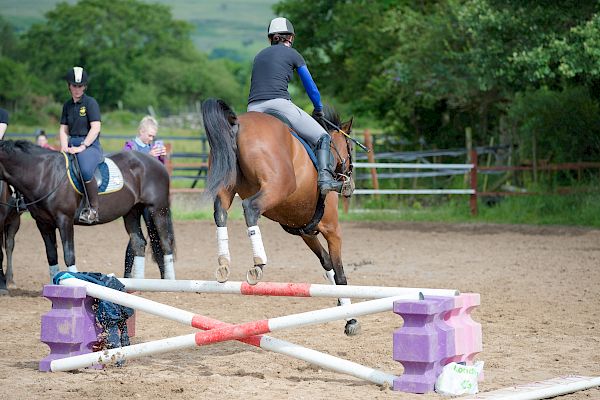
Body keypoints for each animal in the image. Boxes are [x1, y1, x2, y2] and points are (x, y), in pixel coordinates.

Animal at [0, 140, 176, 282]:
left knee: (165, 243)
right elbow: (51, 255)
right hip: (132, 212)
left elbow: (69, 254)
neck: (44, 174)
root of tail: (156, 161)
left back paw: (170, 281)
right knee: (139, 243)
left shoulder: (64, 220)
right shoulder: (43, 224)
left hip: (157, 209)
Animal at [202, 98, 360, 336]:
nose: (349, 183)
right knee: (250, 208)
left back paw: (224, 263)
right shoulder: (332, 229)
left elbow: (326, 263)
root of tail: (237, 124)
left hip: (226, 186)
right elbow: (339, 272)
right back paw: (258, 263)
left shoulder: (306, 232)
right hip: (276, 187)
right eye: (350, 149)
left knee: (220, 212)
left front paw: (344, 311)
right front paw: (351, 319)